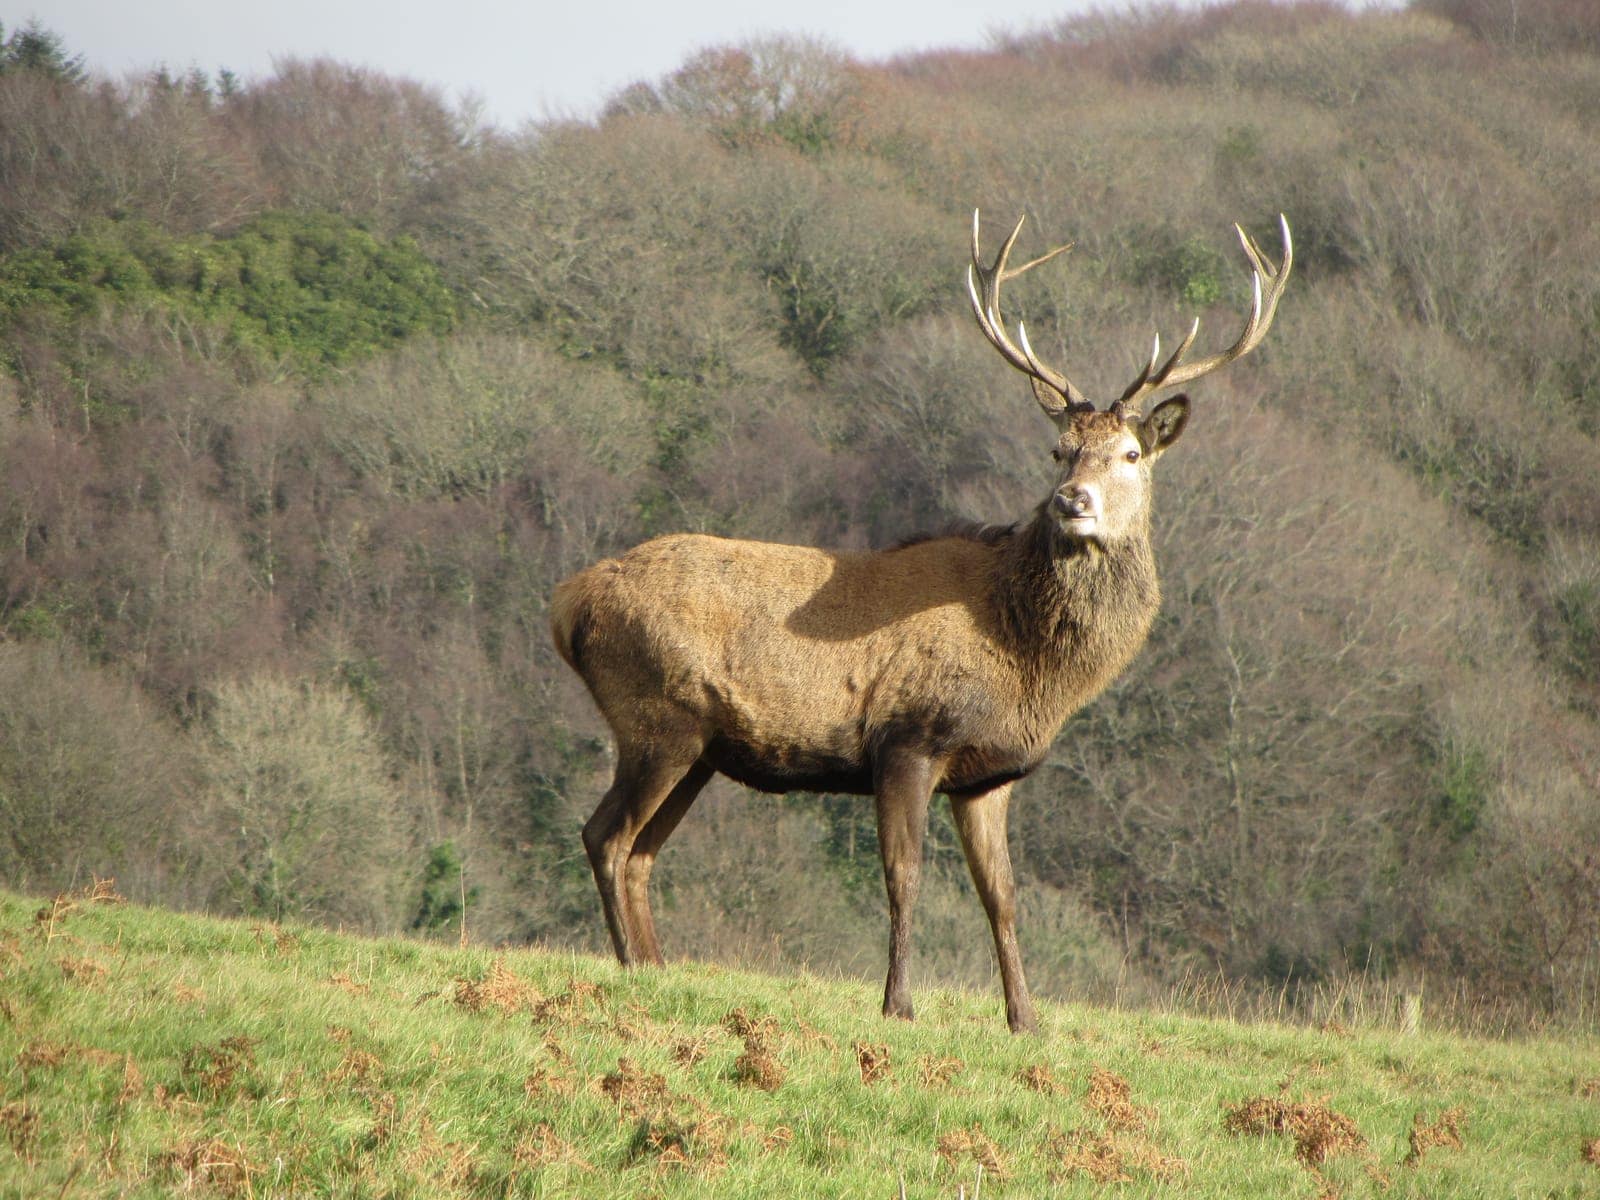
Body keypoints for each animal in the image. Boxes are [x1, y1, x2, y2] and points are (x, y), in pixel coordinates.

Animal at [550, 210, 1291, 1033]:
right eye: (1058, 450)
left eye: (1131, 453)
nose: (1072, 502)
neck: (1025, 659)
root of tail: (567, 604)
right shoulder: (908, 738)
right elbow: (903, 877)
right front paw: (898, 1005)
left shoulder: (988, 775)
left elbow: (1002, 897)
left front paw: (1024, 1019)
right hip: (656, 718)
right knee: (606, 836)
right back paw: (630, 965)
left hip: (699, 747)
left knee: (641, 851)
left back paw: (656, 967)